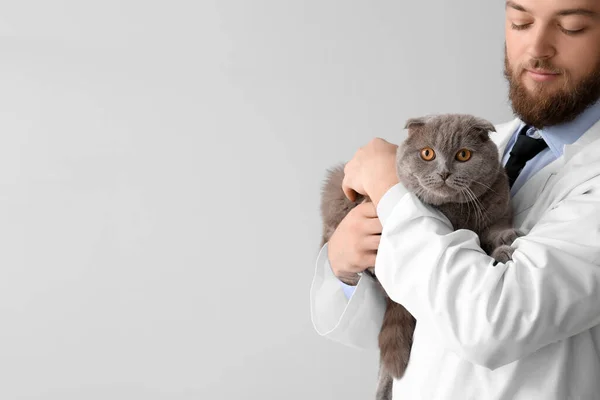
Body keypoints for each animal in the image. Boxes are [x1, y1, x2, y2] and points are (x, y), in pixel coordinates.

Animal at [318, 113, 520, 400]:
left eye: (463, 155)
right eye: (427, 153)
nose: (444, 172)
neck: (455, 212)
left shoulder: (497, 209)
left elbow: (495, 232)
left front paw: (506, 243)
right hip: (336, 187)